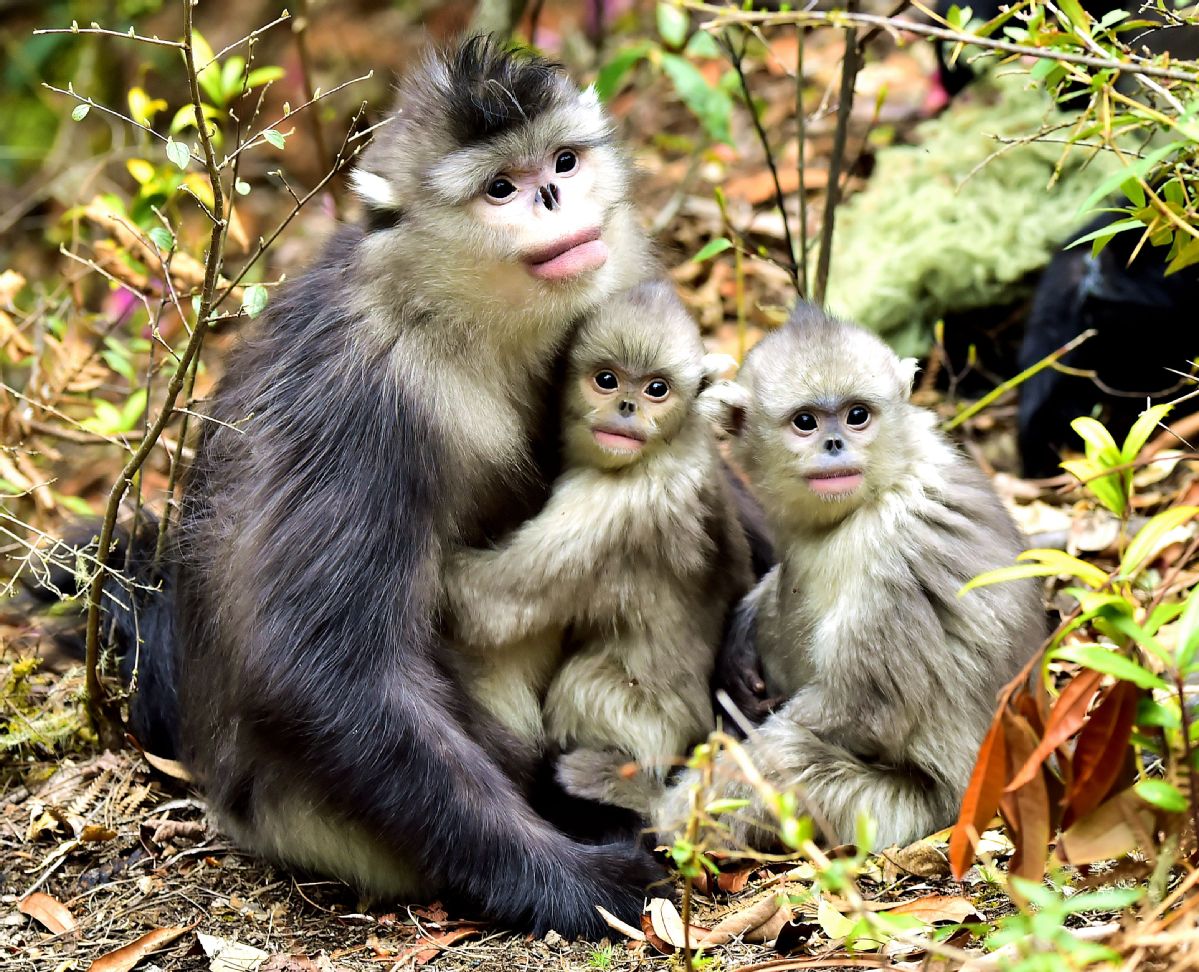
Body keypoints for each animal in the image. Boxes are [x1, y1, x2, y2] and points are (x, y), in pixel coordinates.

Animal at [95, 39, 666, 944]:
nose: (550, 196)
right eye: (499, 188)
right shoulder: (367, 402)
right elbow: (319, 668)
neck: (439, 310)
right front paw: (568, 882)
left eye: (563, 163)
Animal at [441, 281, 748, 791]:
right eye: (607, 380)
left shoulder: (601, 511)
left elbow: (487, 606)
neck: (665, 451)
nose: (627, 407)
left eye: (657, 389)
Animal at [558, 304, 1040, 853]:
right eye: (805, 422)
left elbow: (865, 711)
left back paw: (654, 806)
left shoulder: (899, 550)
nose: (834, 444)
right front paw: (739, 640)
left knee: (787, 755)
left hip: (898, 812)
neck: (880, 491)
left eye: (857, 416)